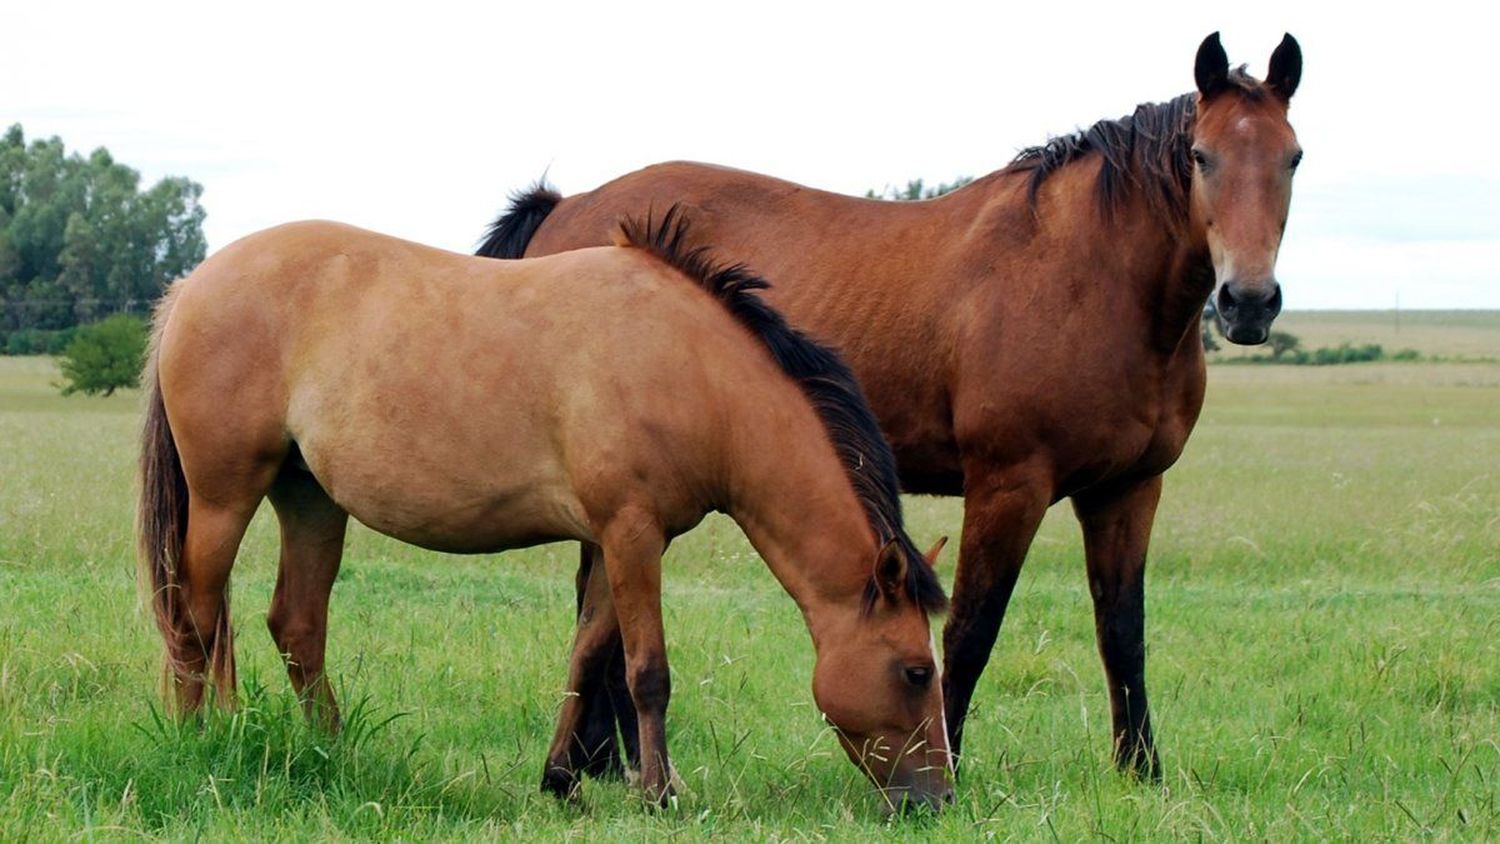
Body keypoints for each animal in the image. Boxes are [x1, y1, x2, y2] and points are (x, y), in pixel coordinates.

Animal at [143, 212, 960, 809]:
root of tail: (189, 285)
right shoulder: (632, 532)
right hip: (225, 495)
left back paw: (332, 751)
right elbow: (646, 671)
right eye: (917, 670)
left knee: (297, 626)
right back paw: (199, 739)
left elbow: (587, 654)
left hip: (309, 499)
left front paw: (561, 781)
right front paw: (659, 795)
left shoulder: (615, 540)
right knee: (196, 616)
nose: (939, 800)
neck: (695, 369)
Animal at [477, 32, 1302, 785]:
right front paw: (955, 763)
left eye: (1292, 158)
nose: (1248, 301)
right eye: (1200, 155)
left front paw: (1142, 772)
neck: (1086, 275)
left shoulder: (1127, 489)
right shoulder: (1009, 484)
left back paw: (604, 762)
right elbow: (970, 631)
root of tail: (567, 206)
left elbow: (1122, 632)